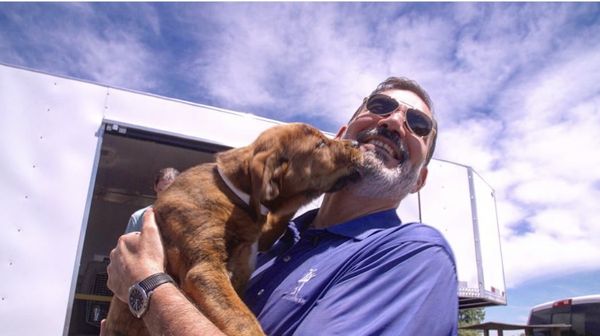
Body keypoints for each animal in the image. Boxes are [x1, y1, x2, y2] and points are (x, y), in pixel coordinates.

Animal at [104, 123, 360, 336]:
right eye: (320, 145)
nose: (357, 144)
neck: (232, 192)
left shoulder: (262, 233)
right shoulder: (206, 269)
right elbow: (242, 320)